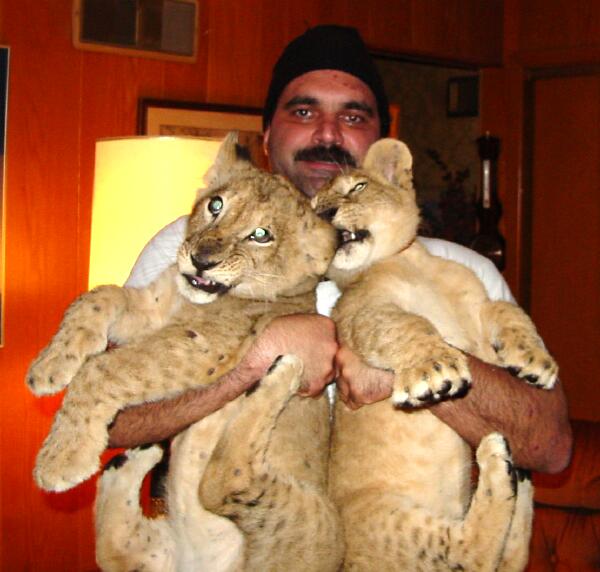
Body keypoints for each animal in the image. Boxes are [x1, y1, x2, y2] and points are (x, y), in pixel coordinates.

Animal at [26, 132, 344, 571]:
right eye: (216, 205)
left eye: (261, 234)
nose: (201, 260)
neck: (191, 301)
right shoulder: (152, 308)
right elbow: (98, 297)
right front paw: (48, 369)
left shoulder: (201, 345)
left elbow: (105, 369)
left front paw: (61, 459)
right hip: (153, 551)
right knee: (113, 547)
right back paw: (135, 457)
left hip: (318, 521)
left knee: (229, 477)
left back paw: (284, 371)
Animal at [311, 138, 558, 572]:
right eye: (312, 208)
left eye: (357, 187)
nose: (325, 214)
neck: (407, 263)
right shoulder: (360, 313)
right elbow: (407, 323)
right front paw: (435, 372)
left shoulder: (479, 303)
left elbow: (508, 312)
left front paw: (535, 363)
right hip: (389, 518)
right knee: (471, 551)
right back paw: (498, 462)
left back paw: (520, 477)